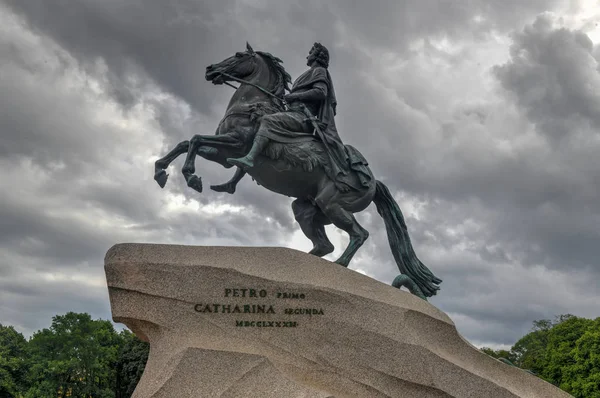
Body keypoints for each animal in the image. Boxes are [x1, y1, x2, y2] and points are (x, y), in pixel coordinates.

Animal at [152, 43, 440, 298]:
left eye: (238, 56)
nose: (210, 70)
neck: (252, 104)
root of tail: (373, 182)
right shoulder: (223, 155)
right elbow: (187, 142)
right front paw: (160, 171)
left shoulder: (234, 143)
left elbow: (196, 139)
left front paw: (191, 177)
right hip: (307, 209)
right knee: (324, 244)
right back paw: (303, 265)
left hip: (333, 205)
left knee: (359, 234)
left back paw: (339, 265)